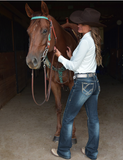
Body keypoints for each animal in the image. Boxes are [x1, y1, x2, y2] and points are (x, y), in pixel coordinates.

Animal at [25, 1, 78, 144]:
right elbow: (59, 107)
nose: (31, 61)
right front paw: (58, 133)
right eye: (28, 32)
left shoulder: (73, 85)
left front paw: (72, 135)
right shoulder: (54, 85)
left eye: (44, 30)